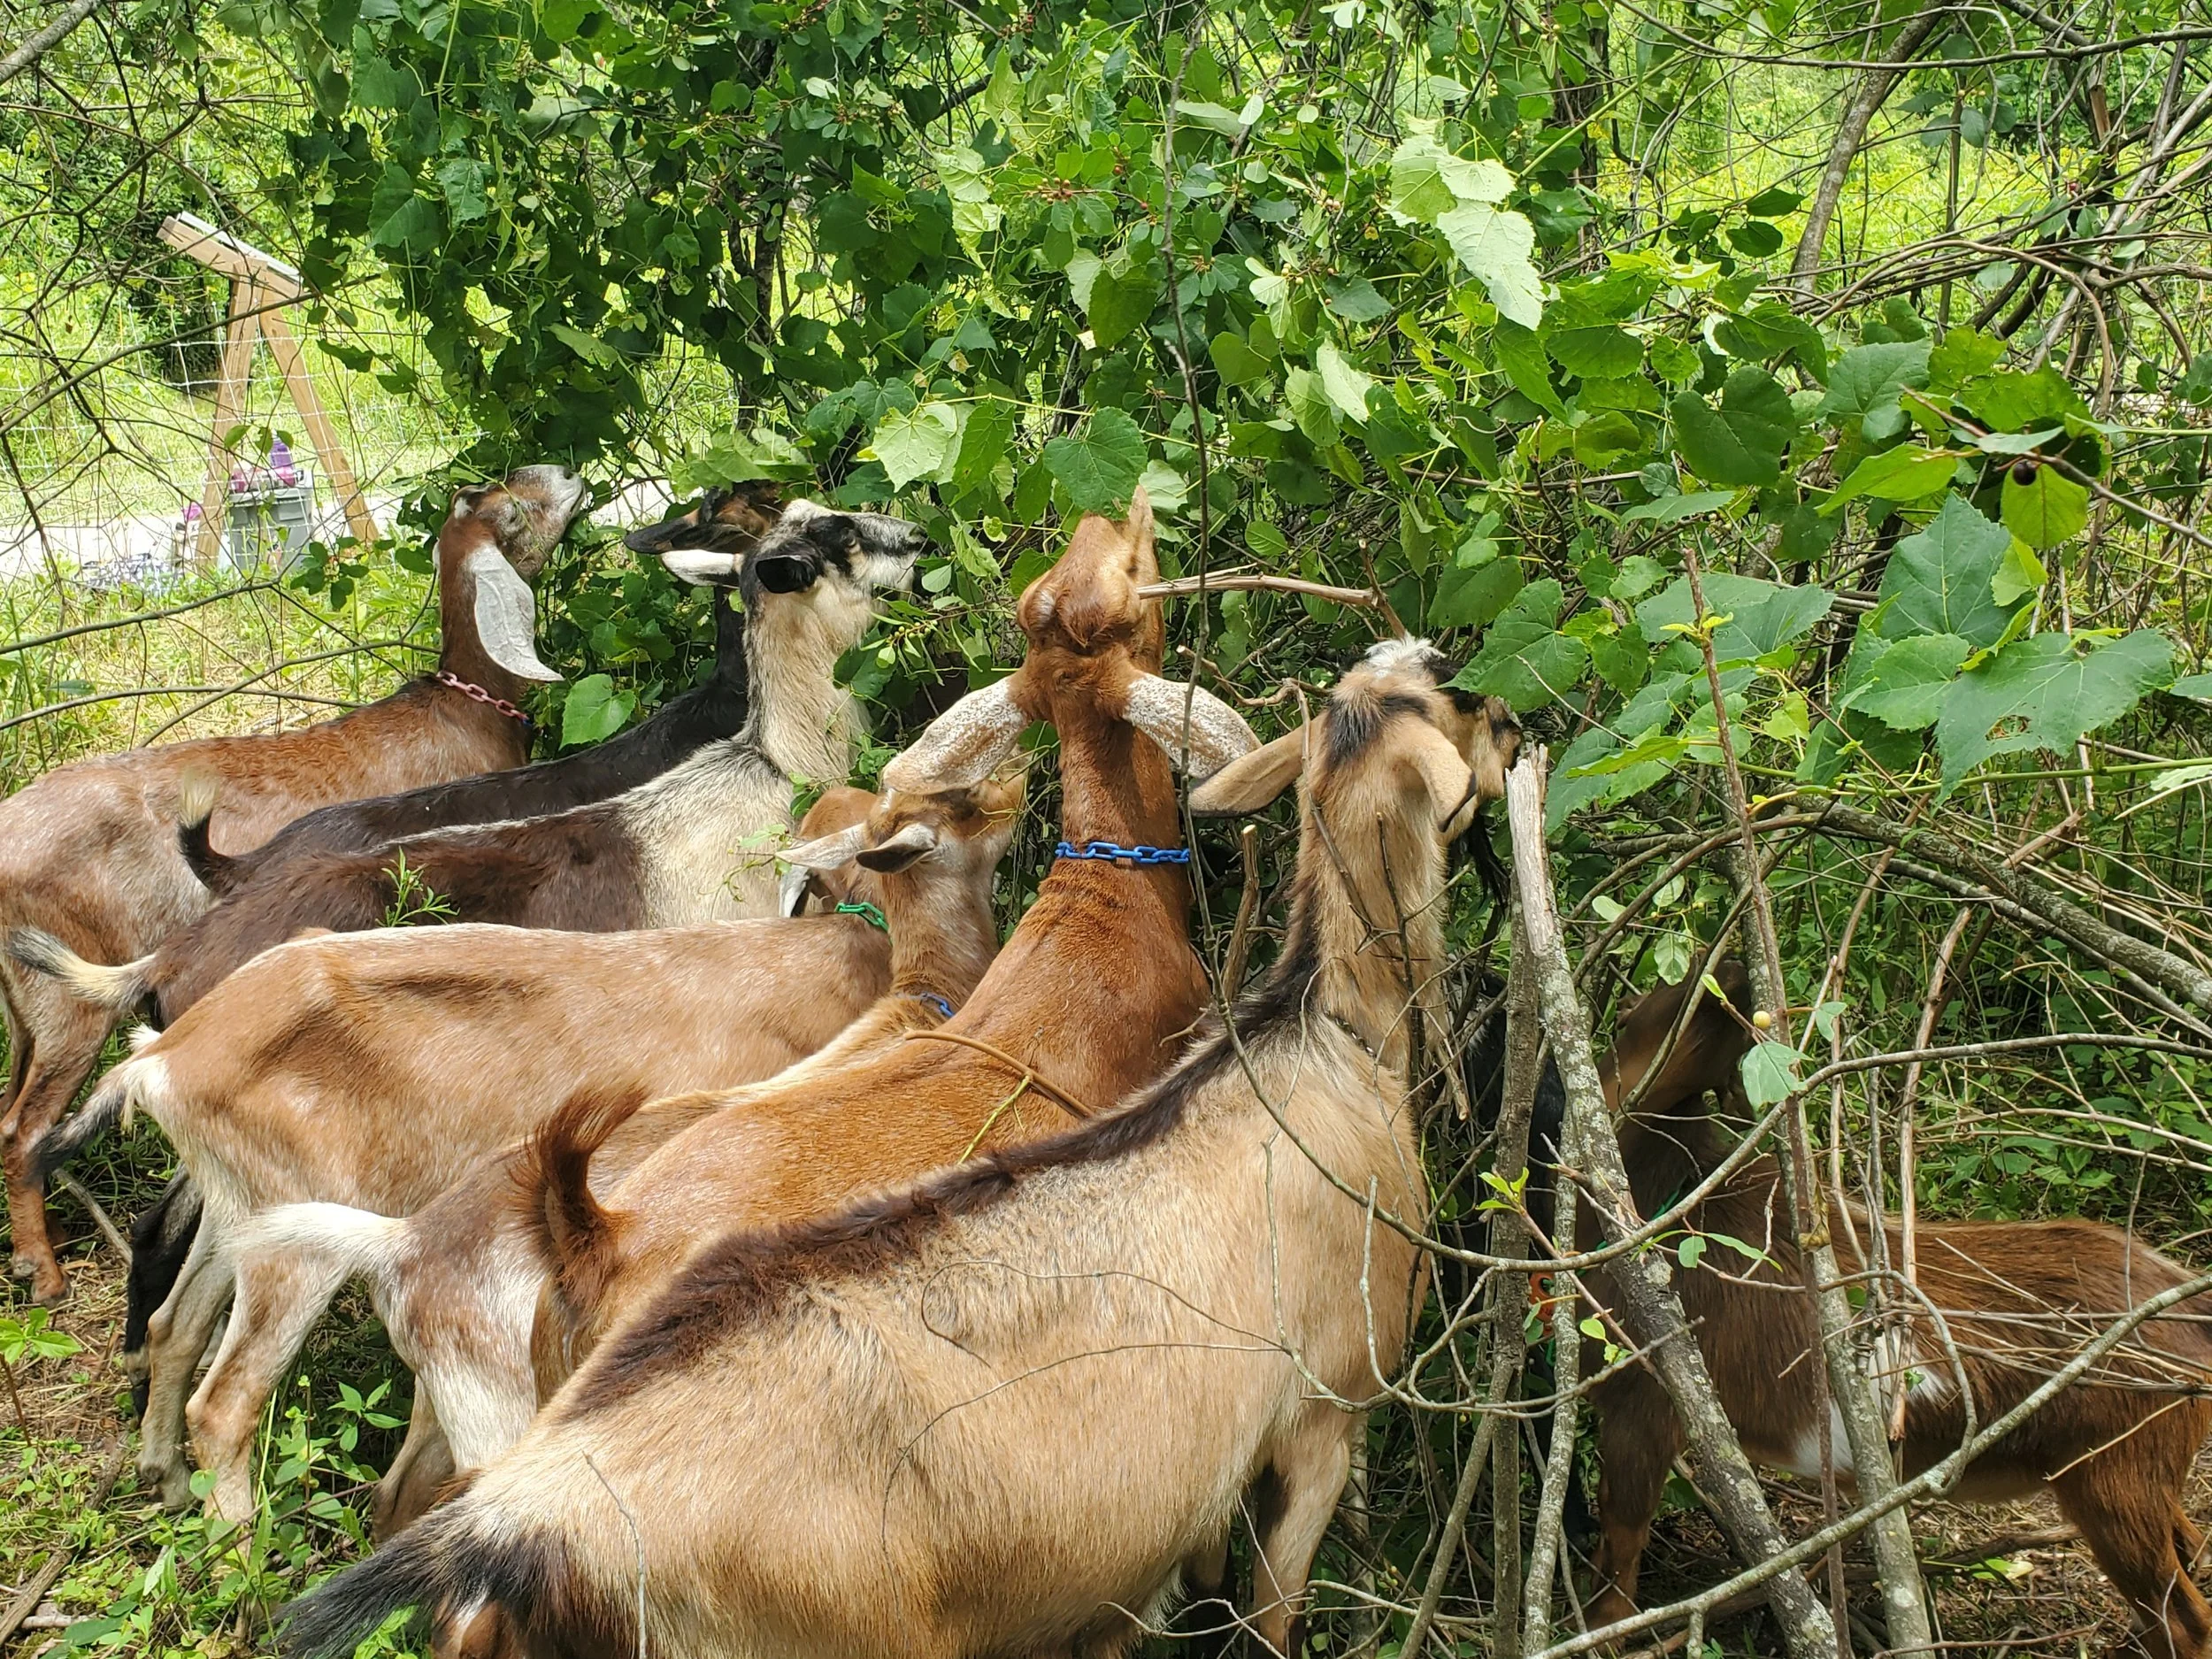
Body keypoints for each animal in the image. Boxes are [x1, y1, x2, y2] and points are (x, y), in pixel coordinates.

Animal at [0, 466, 588, 1302]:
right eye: (512, 512)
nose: (565, 474)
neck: (460, 708)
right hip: (66, 1004)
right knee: (25, 1130)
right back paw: (44, 1275)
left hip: (25, 1007)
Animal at [61, 770, 1011, 1523]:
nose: (1014, 786)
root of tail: (160, 1054)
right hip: (292, 1258)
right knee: (225, 1405)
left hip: (244, 1214)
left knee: (173, 1323)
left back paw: (165, 1482)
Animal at [1574, 966, 2212, 1659]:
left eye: (1629, 1017)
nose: (1723, 972)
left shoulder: (1644, 1401)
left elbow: (1619, 1561)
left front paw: (1596, 1635)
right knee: (2189, 1552)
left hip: (2115, 1475)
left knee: (2183, 1617)